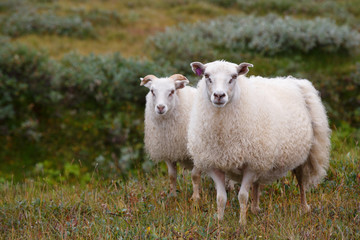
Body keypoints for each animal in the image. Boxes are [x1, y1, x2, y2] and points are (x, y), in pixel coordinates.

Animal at [187, 60, 330, 225]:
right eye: (206, 76)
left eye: (234, 77)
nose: (219, 95)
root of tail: (295, 81)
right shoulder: (215, 165)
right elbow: (221, 198)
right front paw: (220, 221)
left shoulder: (250, 166)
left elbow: (242, 196)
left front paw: (242, 223)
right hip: (260, 156)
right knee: (257, 183)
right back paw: (255, 209)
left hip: (302, 155)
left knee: (301, 182)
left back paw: (304, 207)